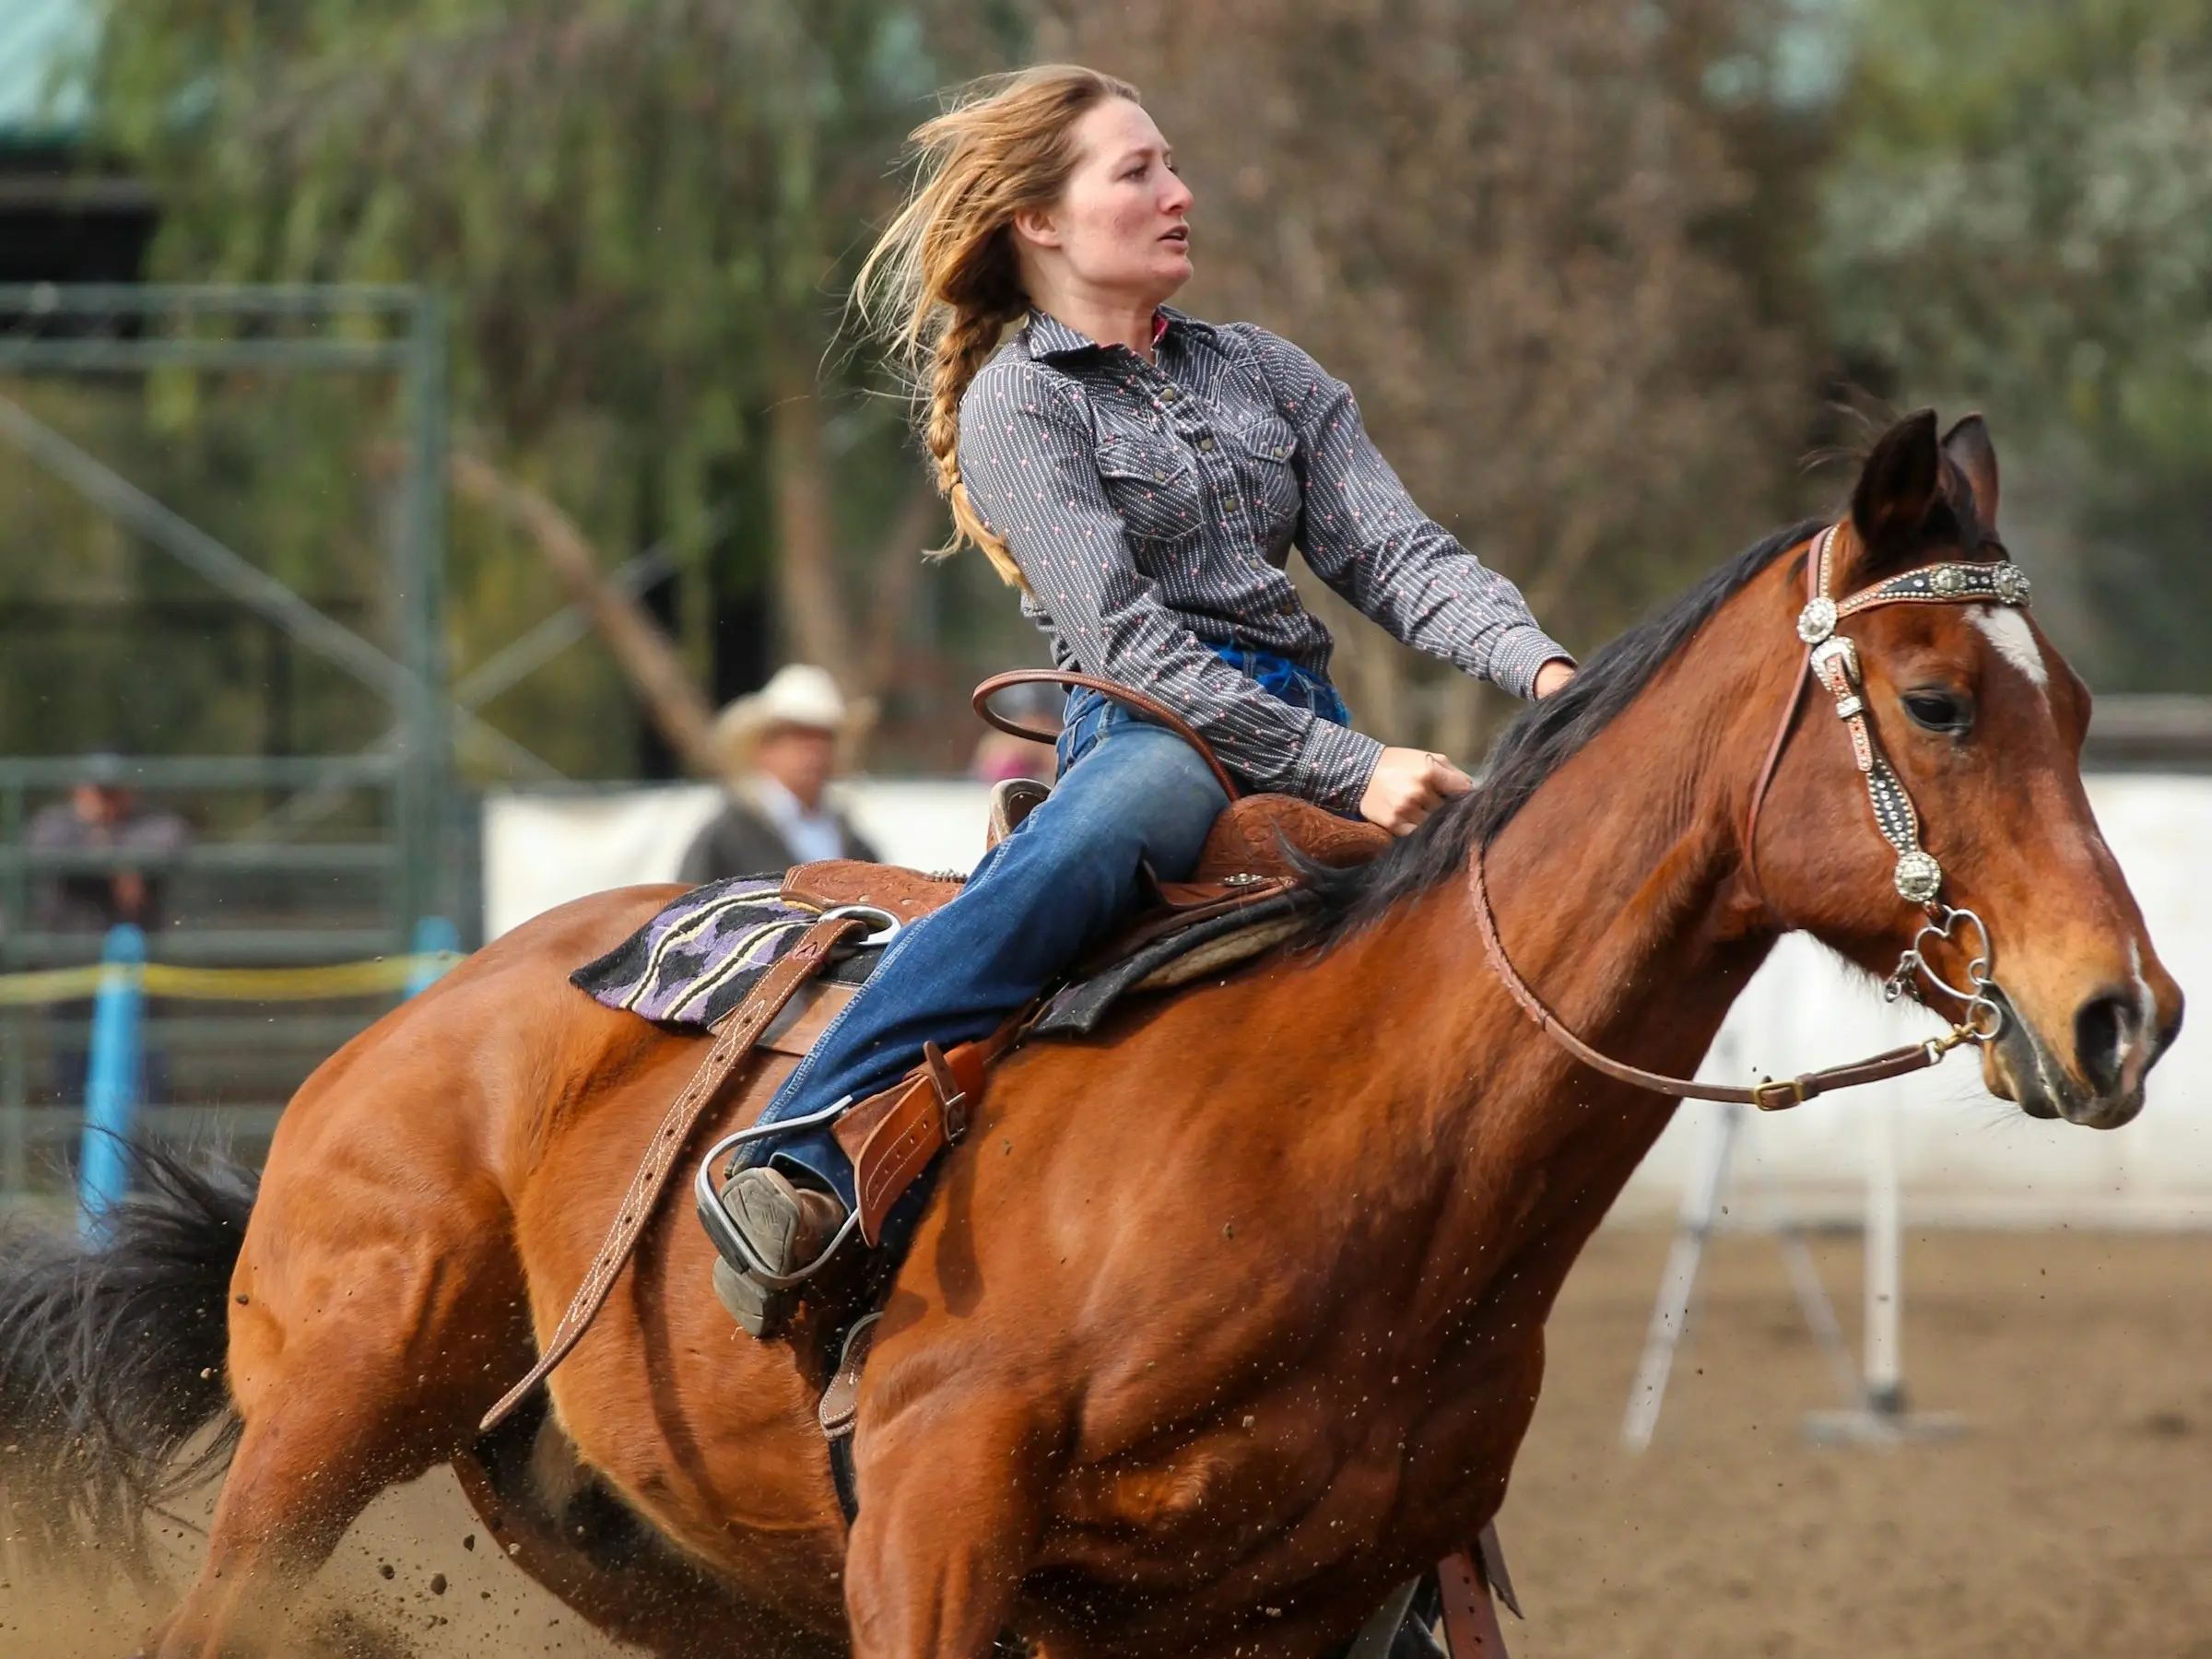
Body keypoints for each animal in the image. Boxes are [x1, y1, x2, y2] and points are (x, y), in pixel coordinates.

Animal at [0, 409, 2180, 1658]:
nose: (2123, 1014)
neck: (1354, 1129)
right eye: (1936, 699)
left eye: (2072, 702)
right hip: (315, 1442)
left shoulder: (1300, 1612)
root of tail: (401, 1039)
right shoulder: (935, 1536)